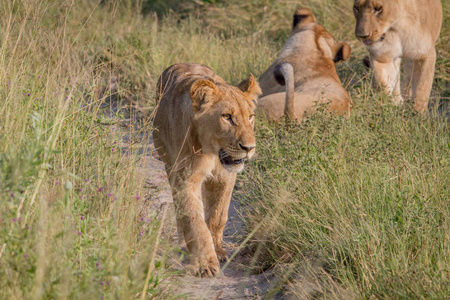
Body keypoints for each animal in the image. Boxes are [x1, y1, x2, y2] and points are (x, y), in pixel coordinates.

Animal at [154, 62, 262, 276]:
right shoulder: (185, 179)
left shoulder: (225, 176)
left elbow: (217, 216)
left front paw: (218, 252)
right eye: (227, 117)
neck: (211, 152)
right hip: (169, 165)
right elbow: (195, 220)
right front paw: (205, 264)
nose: (249, 148)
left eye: (250, 117)